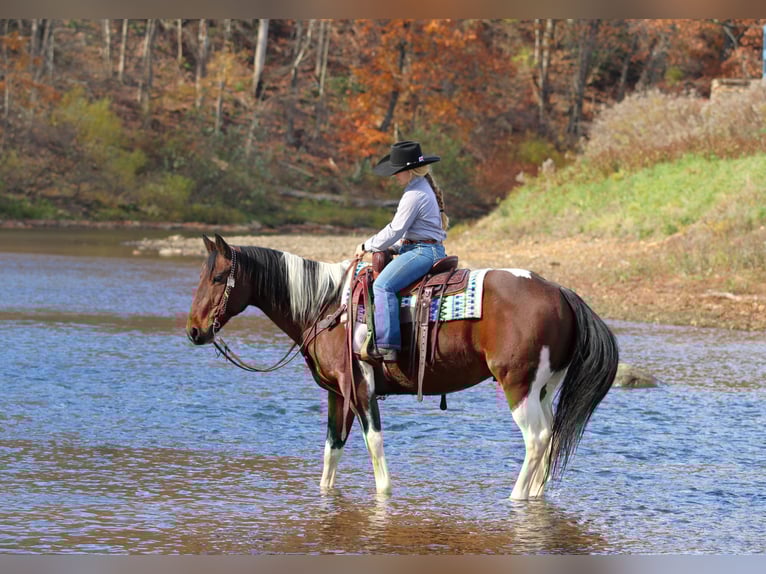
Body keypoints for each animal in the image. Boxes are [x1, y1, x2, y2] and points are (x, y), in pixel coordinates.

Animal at [186, 234, 619, 500]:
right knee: (552, 436)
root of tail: (560, 291)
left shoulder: (360, 388)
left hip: (518, 386)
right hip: (544, 388)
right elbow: (331, 450)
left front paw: (384, 496)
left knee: (537, 438)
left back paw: (515, 497)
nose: (194, 330)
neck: (328, 306)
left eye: (220, 276)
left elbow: (374, 444)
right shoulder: (336, 393)